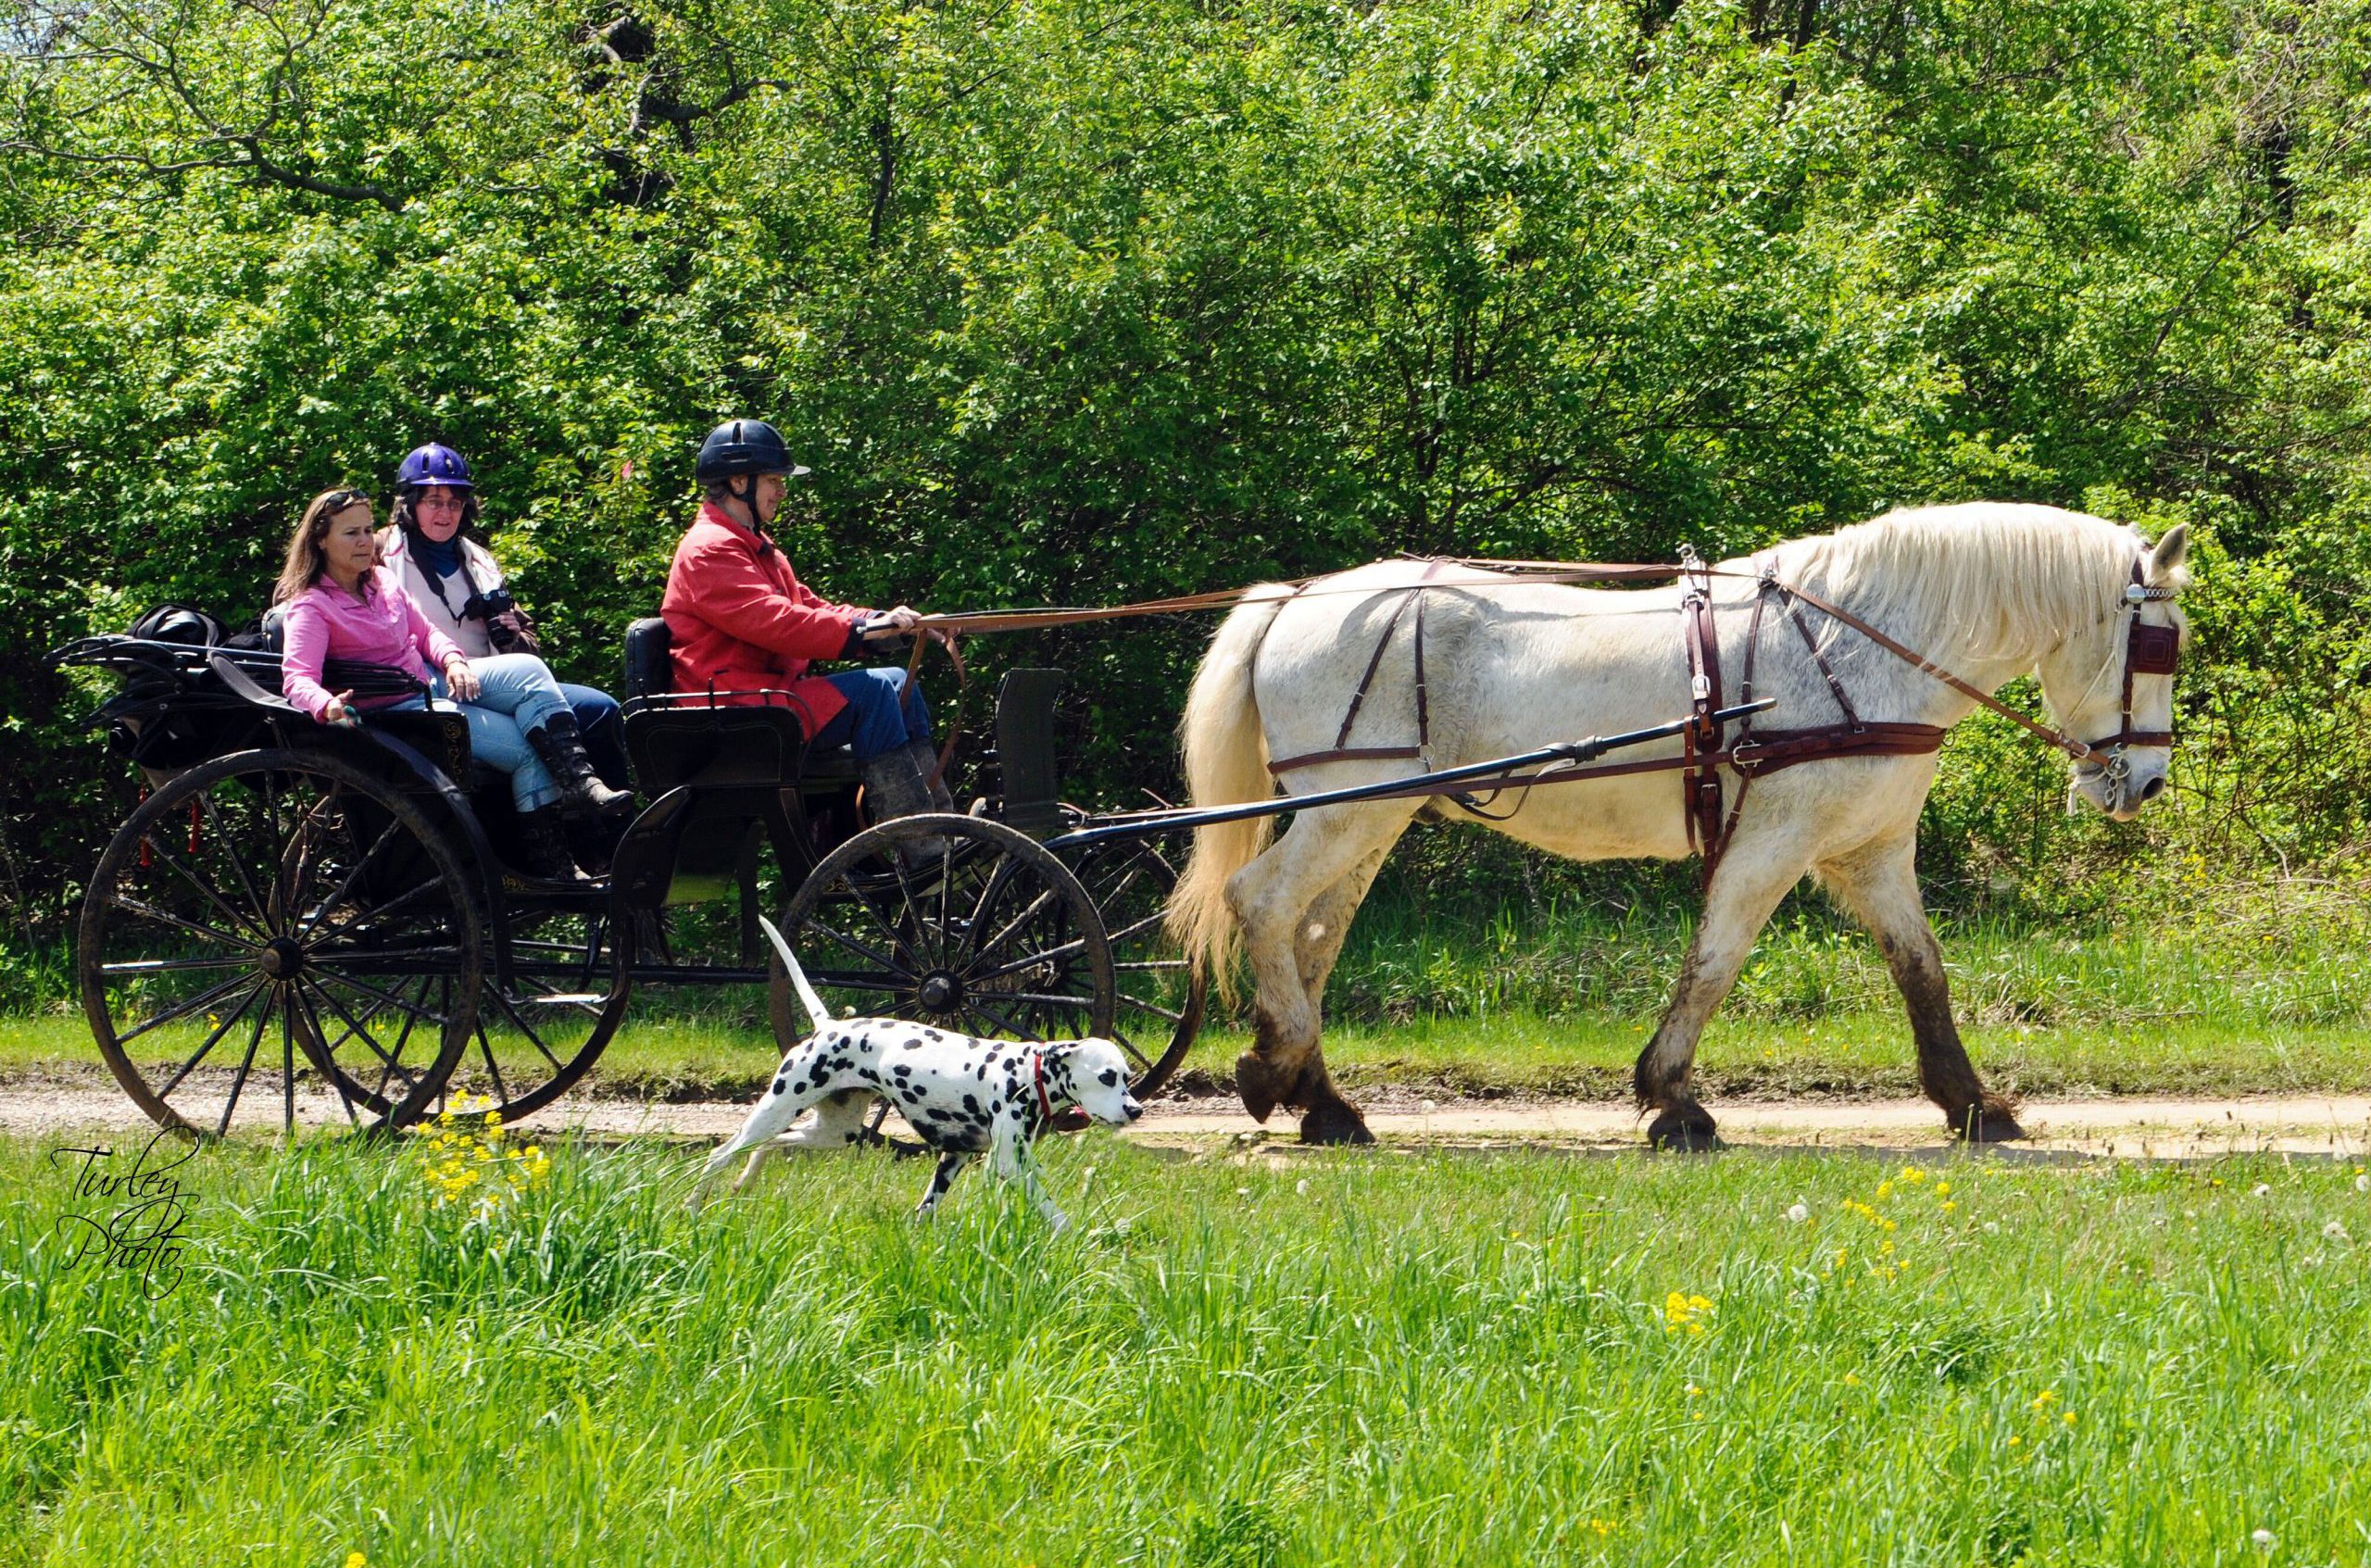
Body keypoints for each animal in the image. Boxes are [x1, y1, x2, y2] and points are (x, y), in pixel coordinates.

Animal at [687, 910, 1137, 1233]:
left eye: (1127, 1077)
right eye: (1106, 1077)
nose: (1135, 1110)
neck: (1026, 1075)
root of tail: (827, 1026)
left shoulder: (954, 1157)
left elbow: (927, 1209)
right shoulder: (1010, 1165)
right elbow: (1058, 1217)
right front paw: (1081, 1238)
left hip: (831, 1133)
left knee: (768, 1145)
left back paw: (744, 1181)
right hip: (776, 1111)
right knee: (719, 1154)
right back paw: (692, 1206)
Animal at [1166, 508, 2181, 1143]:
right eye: (2158, 644)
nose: (2146, 782)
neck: (1860, 645)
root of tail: (1294, 598)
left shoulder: (1872, 851)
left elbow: (1921, 969)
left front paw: (1971, 1104)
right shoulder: (1773, 839)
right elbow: (1716, 959)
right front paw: (1673, 1098)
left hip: (1366, 817)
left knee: (1311, 937)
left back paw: (1320, 1097)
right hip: (1346, 807)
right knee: (1262, 904)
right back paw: (1277, 1070)